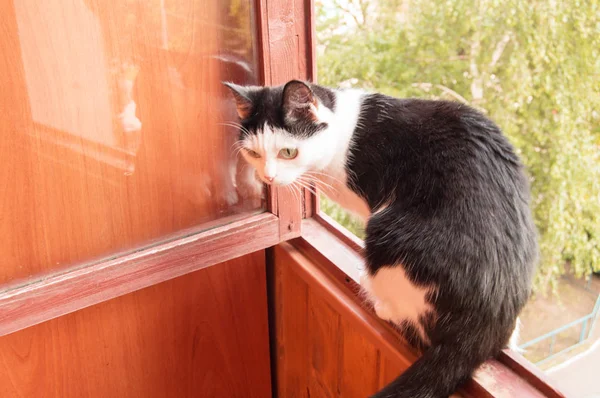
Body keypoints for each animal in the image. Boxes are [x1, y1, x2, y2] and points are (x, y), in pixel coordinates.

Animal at [225, 79, 540, 398]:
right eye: (253, 154)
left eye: (288, 152)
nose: (268, 178)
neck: (342, 134)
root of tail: (483, 322)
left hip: (384, 233)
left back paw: (379, 300)